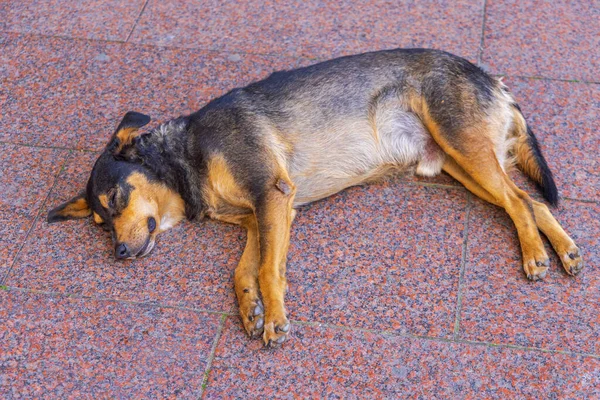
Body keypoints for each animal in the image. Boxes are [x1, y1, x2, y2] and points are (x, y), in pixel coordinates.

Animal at [49, 47, 584, 346]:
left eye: (116, 198)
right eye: (98, 224)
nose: (119, 253)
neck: (189, 156)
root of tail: (492, 78)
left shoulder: (272, 197)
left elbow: (268, 270)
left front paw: (274, 319)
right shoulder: (256, 218)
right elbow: (242, 271)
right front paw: (250, 309)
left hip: (464, 147)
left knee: (520, 202)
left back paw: (535, 254)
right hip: (460, 165)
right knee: (530, 201)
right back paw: (564, 250)